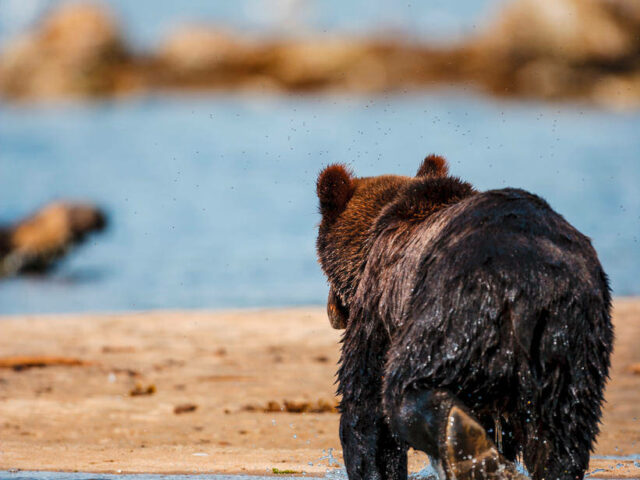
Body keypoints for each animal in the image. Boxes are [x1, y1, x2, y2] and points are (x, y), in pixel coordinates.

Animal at [318, 158, 612, 480]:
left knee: (404, 388)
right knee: (563, 432)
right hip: (572, 344)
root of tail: (530, 285)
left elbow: (366, 404)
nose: (332, 311)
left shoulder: (380, 298)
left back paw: (462, 439)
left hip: (450, 312)